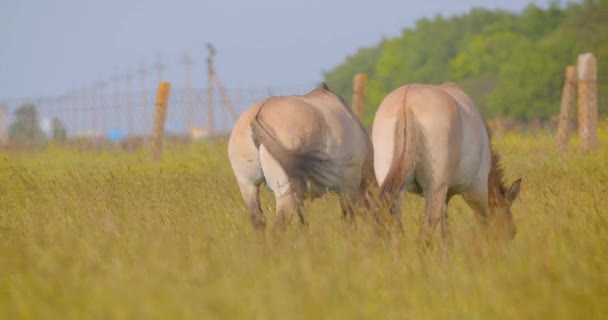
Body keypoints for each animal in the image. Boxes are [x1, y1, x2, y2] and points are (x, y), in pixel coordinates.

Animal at [228, 82, 376, 232]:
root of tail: (258, 114)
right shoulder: (349, 188)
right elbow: (350, 217)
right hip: (284, 195)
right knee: (279, 225)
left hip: (249, 186)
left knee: (259, 220)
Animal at [370, 82, 524, 242]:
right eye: (512, 232)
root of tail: (406, 103)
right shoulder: (477, 194)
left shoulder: (447, 197)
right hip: (435, 189)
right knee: (428, 229)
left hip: (397, 190)